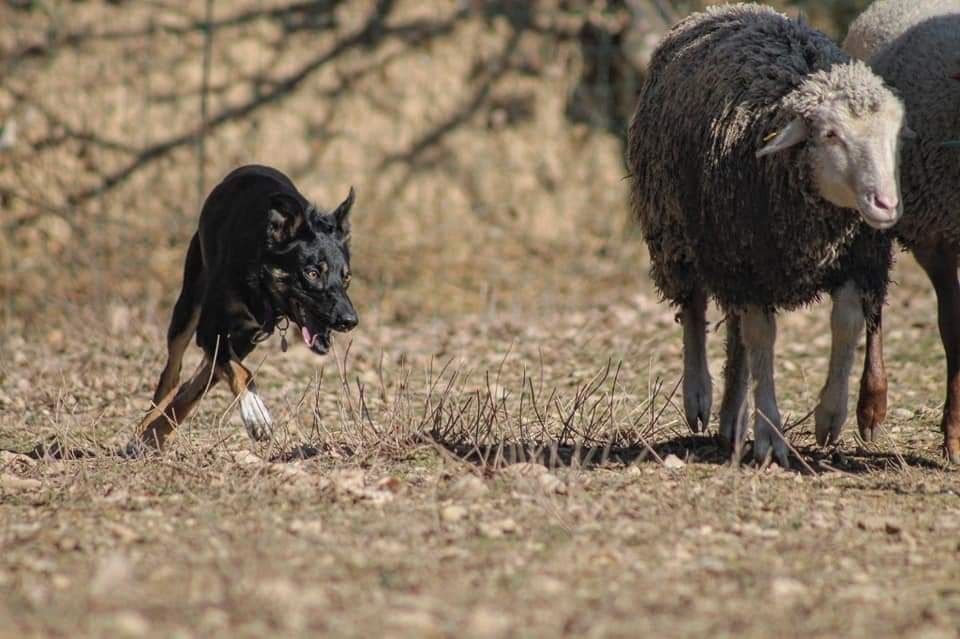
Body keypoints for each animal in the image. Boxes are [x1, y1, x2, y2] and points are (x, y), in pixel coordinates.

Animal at [133, 168, 358, 452]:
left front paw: (158, 431)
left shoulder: (245, 339)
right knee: (173, 372)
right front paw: (257, 415)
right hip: (188, 305)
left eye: (346, 277)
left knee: (196, 381)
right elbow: (242, 372)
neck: (261, 278)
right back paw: (148, 423)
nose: (349, 320)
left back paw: (157, 430)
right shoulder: (209, 330)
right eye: (312, 273)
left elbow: (215, 377)